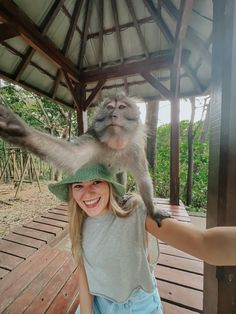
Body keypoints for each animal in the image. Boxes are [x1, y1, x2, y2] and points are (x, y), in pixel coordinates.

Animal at [0, 95, 170, 226]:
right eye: (110, 107)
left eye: (121, 107)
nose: (113, 115)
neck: (115, 144)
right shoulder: (95, 138)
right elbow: (72, 156)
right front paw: (17, 128)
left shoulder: (135, 148)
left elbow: (143, 179)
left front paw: (153, 210)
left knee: (121, 172)